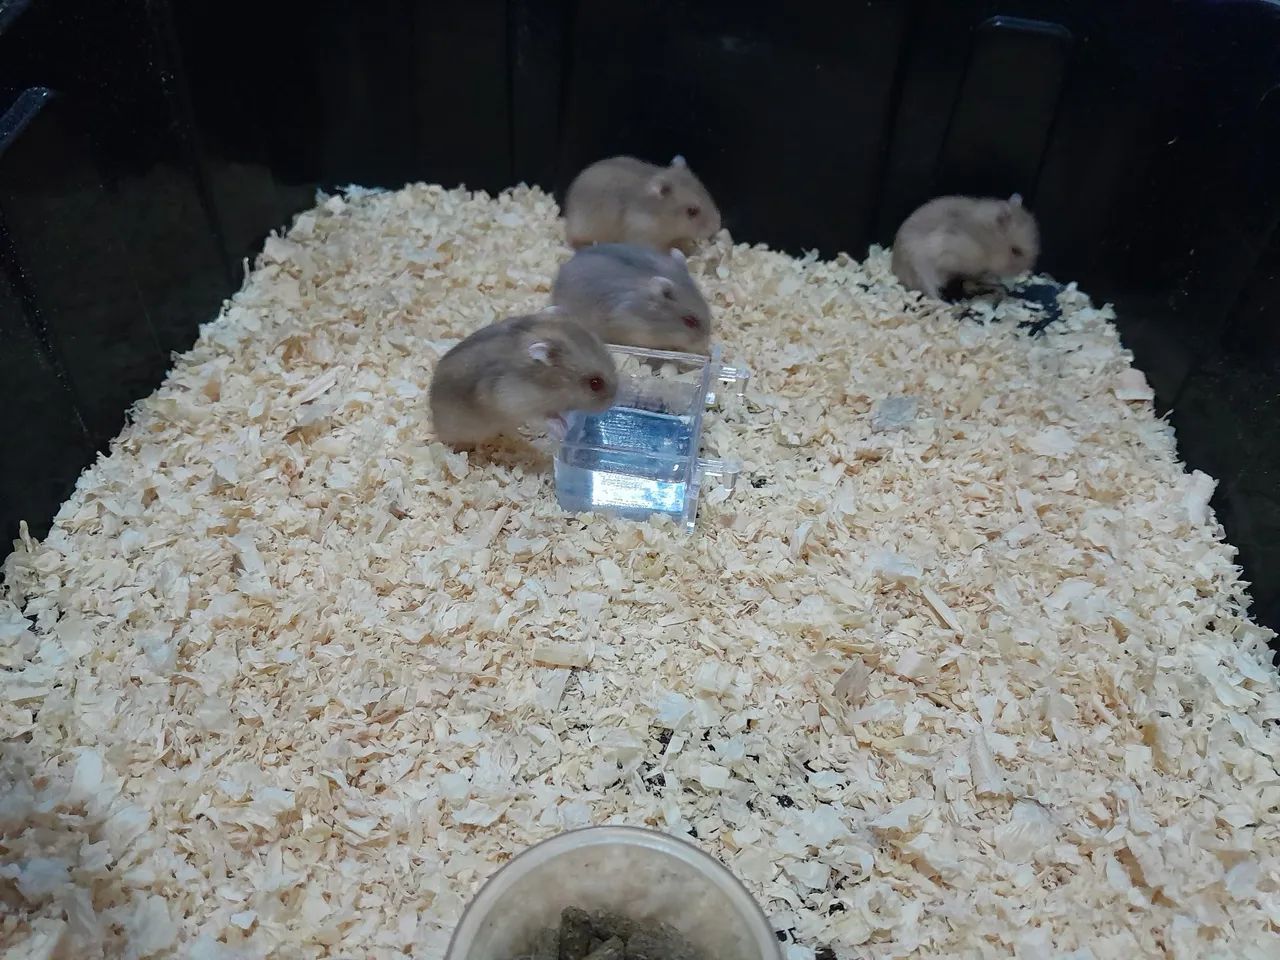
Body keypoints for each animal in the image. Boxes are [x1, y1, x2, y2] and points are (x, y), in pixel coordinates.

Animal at [429, 311, 618, 447]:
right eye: (595, 384)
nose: (612, 402)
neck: (549, 384)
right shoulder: (515, 404)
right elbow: (544, 419)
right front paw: (563, 429)